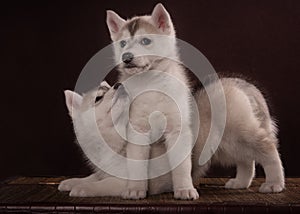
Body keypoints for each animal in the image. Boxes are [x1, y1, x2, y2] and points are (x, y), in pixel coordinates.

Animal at [106, 3, 199, 200]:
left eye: (146, 41)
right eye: (122, 43)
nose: (126, 57)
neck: (151, 84)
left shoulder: (177, 129)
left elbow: (182, 166)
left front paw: (184, 189)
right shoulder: (137, 130)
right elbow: (136, 164)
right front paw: (135, 189)